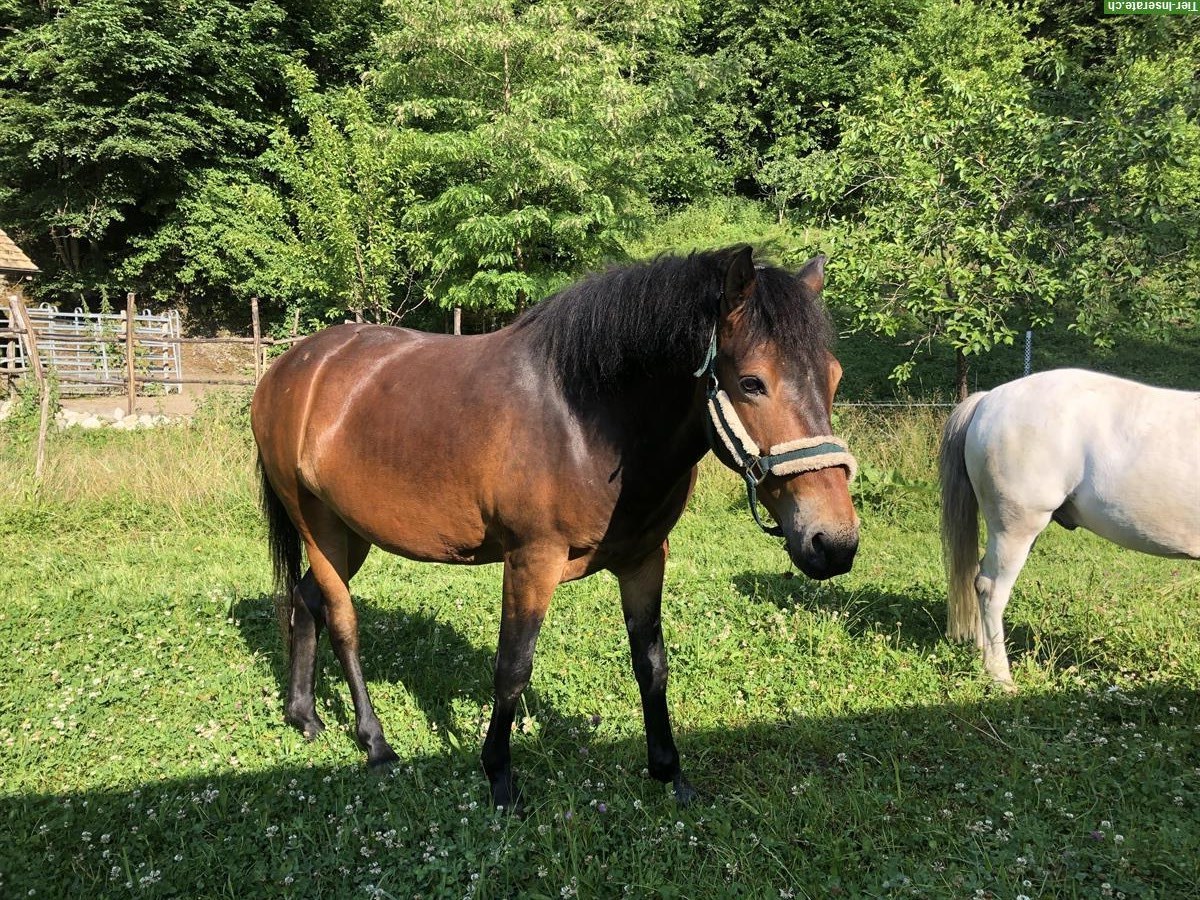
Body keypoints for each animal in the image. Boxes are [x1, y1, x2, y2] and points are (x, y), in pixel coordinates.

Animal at [253, 248, 859, 811]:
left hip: (350, 532)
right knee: (342, 621)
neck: (586, 420)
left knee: (304, 601)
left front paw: (670, 773)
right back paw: (375, 743)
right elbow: (512, 668)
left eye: (835, 378)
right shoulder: (532, 560)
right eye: (753, 383)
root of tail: (290, 367)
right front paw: (499, 780)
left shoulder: (645, 558)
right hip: (317, 526)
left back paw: (303, 715)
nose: (834, 542)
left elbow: (652, 666)